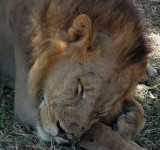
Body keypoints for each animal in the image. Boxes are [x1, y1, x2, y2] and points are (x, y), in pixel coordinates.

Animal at [0, 0, 155, 148]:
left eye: (100, 112)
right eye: (79, 89)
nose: (64, 135)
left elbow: (139, 110)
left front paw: (127, 123)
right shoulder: (27, 104)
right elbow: (97, 131)